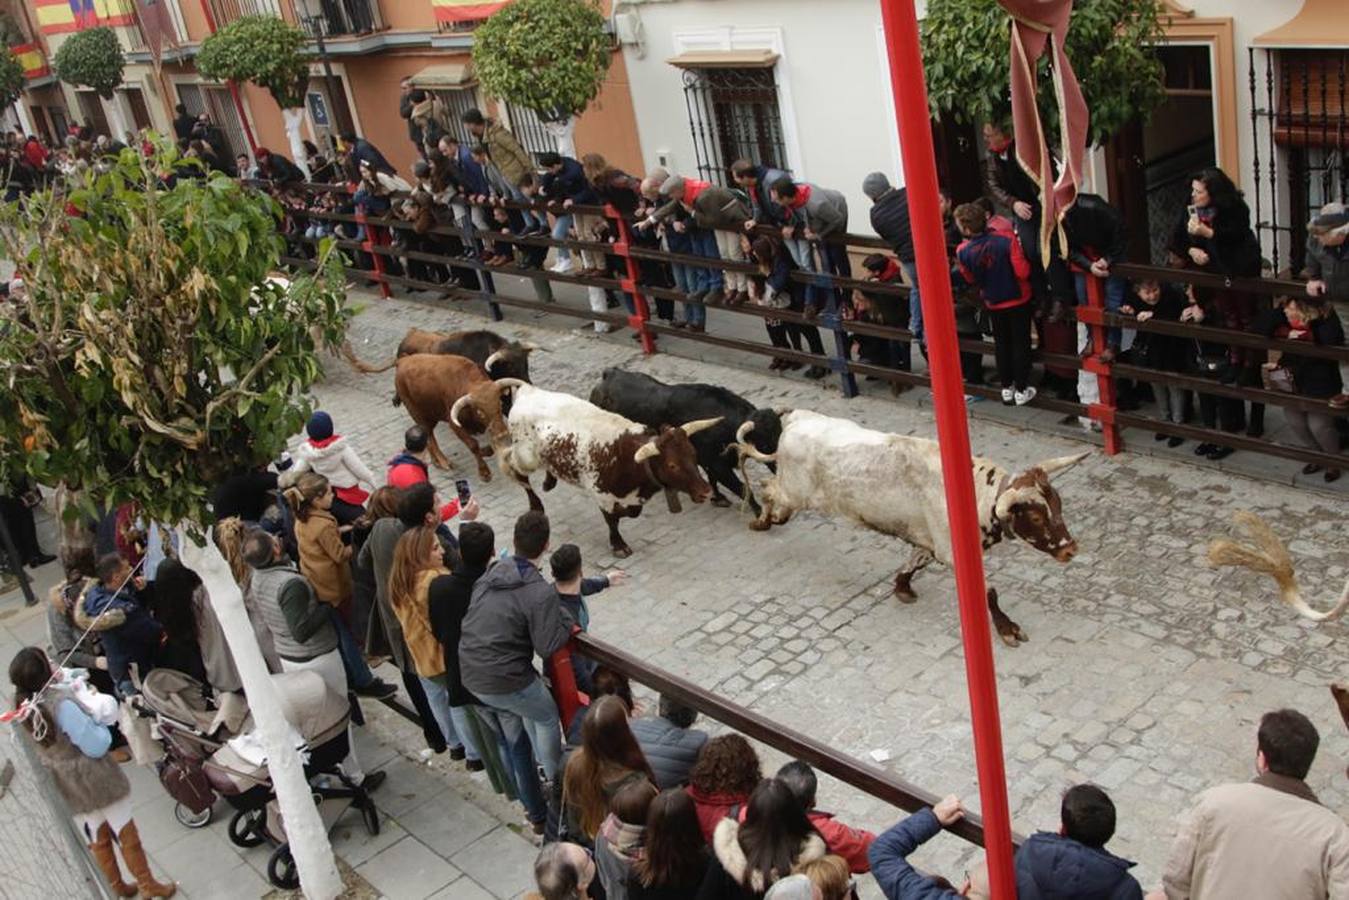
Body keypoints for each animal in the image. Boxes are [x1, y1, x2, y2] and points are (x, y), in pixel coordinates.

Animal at [588, 364, 782, 507]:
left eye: (779, 434)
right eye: (764, 444)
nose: (779, 465)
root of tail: (609, 374)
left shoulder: (709, 462)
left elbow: (712, 479)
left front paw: (717, 498)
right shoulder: (717, 465)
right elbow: (742, 489)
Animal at [739, 407, 1084, 647]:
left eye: (1058, 505)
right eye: (1036, 517)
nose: (1071, 549)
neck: (975, 495)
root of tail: (798, 419)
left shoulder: (931, 543)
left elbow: (914, 561)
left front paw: (902, 586)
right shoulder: (954, 553)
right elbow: (989, 591)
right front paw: (1007, 628)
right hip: (795, 491)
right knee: (768, 488)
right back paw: (762, 520)